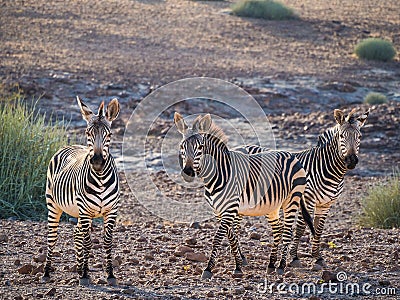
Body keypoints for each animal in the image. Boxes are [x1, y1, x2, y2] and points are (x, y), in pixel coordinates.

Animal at [41, 96, 122, 286]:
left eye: (109, 135)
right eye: (87, 133)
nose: (98, 162)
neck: (100, 179)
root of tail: (68, 145)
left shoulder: (111, 211)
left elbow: (107, 242)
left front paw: (110, 275)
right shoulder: (85, 211)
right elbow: (88, 242)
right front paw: (85, 275)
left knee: (76, 232)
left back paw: (78, 269)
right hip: (53, 205)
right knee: (52, 238)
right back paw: (47, 272)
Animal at [173, 112, 314, 278]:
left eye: (200, 147)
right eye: (182, 146)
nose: (188, 172)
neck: (219, 174)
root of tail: (291, 155)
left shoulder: (230, 208)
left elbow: (218, 237)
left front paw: (208, 269)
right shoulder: (219, 211)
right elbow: (231, 236)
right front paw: (238, 265)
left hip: (292, 200)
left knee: (287, 232)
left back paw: (281, 266)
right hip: (272, 205)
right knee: (278, 229)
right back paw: (271, 264)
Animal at [242, 108, 370, 270]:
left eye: (359, 136)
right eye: (342, 136)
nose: (351, 161)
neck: (328, 169)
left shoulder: (326, 204)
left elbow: (319, 229)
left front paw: (317, 257)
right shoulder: (308, 199)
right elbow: (300, 228)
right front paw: (295, 257)